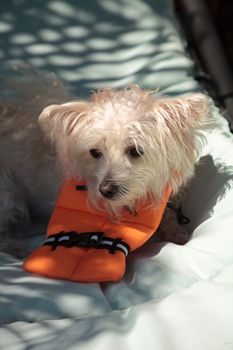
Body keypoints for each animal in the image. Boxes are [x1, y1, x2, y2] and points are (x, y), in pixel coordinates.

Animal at [0, 67, 211, 258]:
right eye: (95, 152)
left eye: (135, 151)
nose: (105, 190)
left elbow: (170, 216)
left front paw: (176, 231)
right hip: (8, 194)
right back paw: (16, 247)